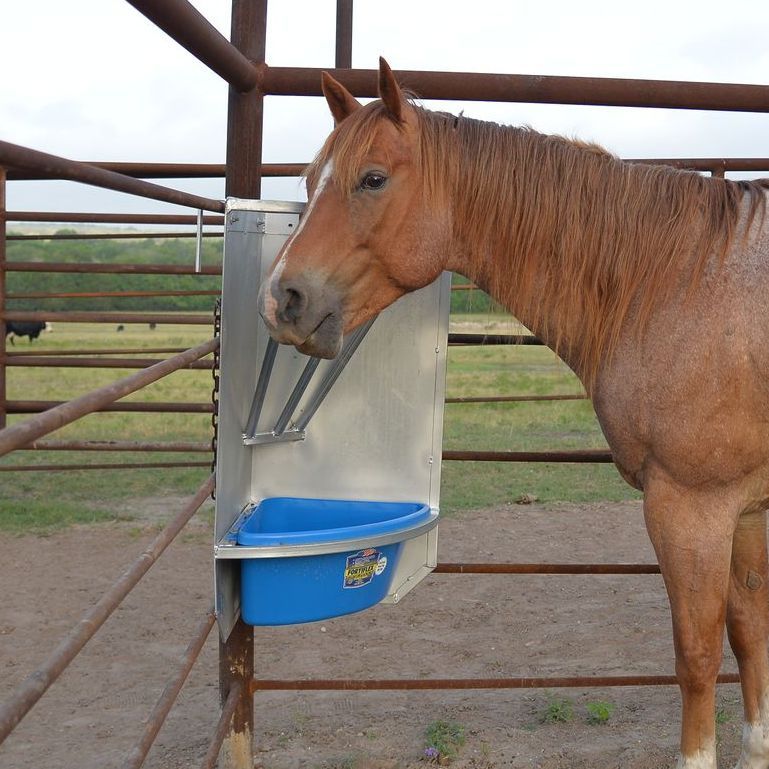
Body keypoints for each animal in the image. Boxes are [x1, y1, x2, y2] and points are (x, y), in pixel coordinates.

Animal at [258, 58, 769, 769]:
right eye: (310, 180)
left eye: (372, 179)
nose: (283, 300)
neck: (677, 281)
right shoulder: (744, 509)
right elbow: (750, 639)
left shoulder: (693, 507)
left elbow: (696, 657)